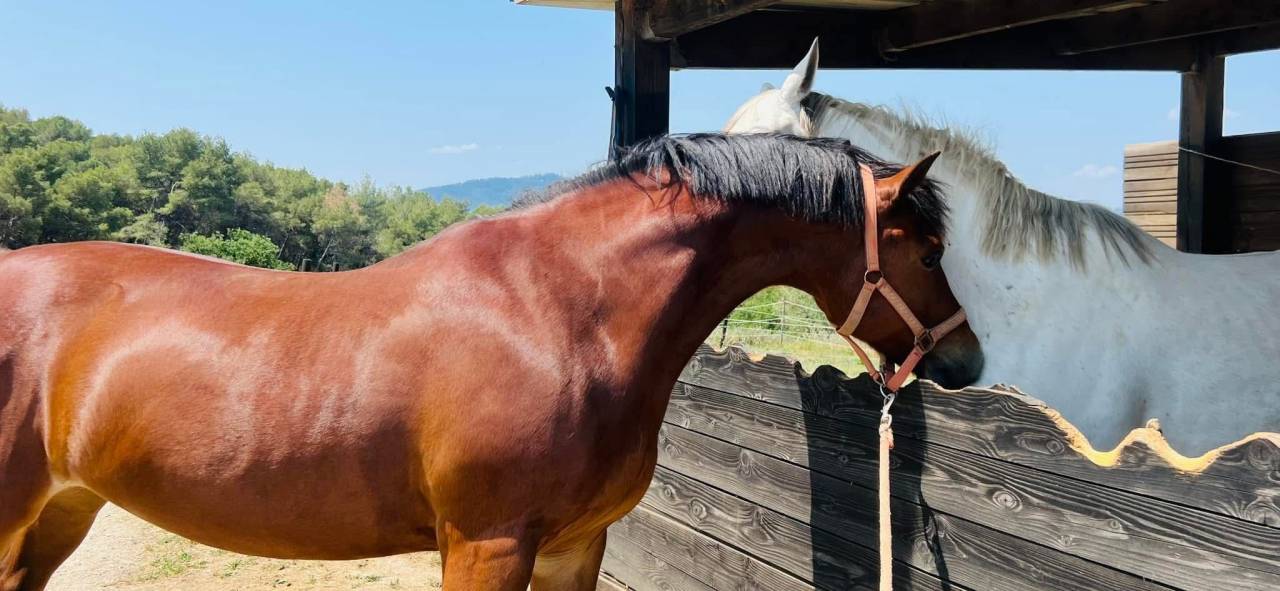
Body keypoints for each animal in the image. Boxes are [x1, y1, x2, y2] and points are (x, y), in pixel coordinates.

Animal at [0, 133, 982, 590]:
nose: (964, 359)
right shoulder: (487, 543)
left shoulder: (576, 544)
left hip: (60, 510)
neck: (559, 311)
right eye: (929, 247)